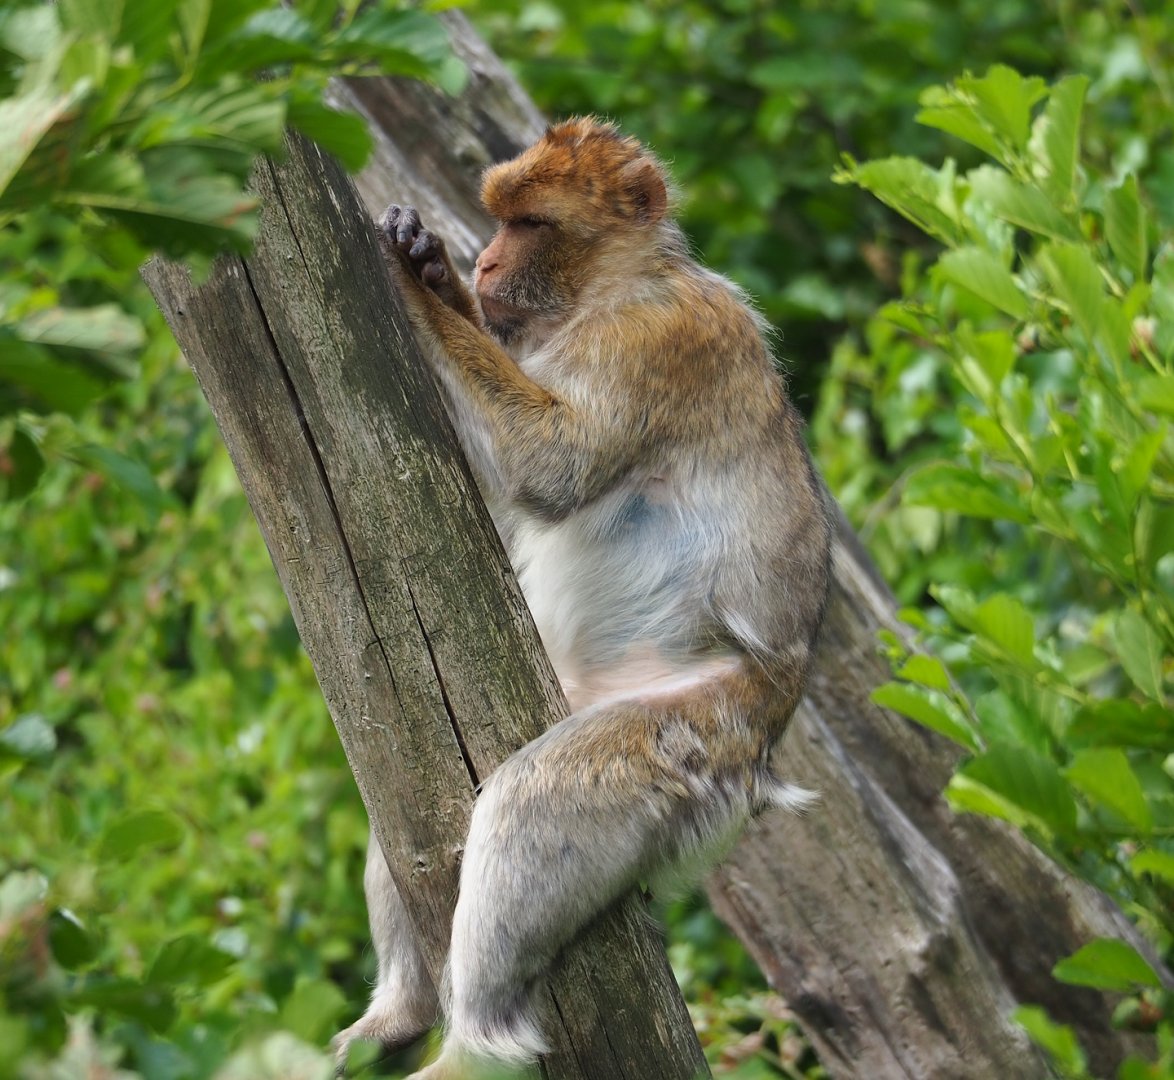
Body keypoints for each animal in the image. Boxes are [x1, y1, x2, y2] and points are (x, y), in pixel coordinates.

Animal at [333, 117, 833, 1079]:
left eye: (529, 222)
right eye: (498, 219)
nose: (486, 261)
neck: (614, 288)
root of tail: (766, 751)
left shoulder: (658, 339)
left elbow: (551, 467)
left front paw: (416, 280)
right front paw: (436, 270)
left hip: (697, 735)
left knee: (528, 802)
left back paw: (474, 1040)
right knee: (404, 826)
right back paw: (400, 1014)